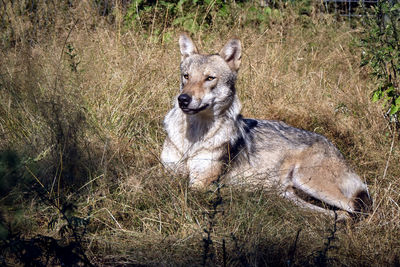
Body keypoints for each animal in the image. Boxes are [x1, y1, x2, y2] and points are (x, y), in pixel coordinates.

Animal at [161, 33, 374, 218]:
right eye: (186, 76)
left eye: (209, 78)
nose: (183, 99)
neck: (192, 140)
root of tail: (332, 145)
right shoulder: (168, 172)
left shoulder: (200, 183)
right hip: (288, 194)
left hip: (308, 180)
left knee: (357, 208)